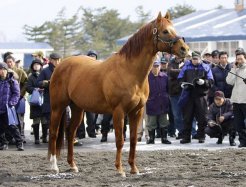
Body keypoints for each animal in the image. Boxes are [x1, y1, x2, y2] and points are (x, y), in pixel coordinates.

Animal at [49, 12, 189, 177]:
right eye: (165, 31)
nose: (185, 49)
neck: (129, 71)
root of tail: (60, 65)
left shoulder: (137, 112)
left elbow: (133, 139)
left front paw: (134, 168)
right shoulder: (119, 112)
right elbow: (120, 140)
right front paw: (120, 169)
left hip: (77, 108)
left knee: (70, 133)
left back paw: (72, 165)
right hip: (57, 107)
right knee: (53, 133)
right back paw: (54, 166)